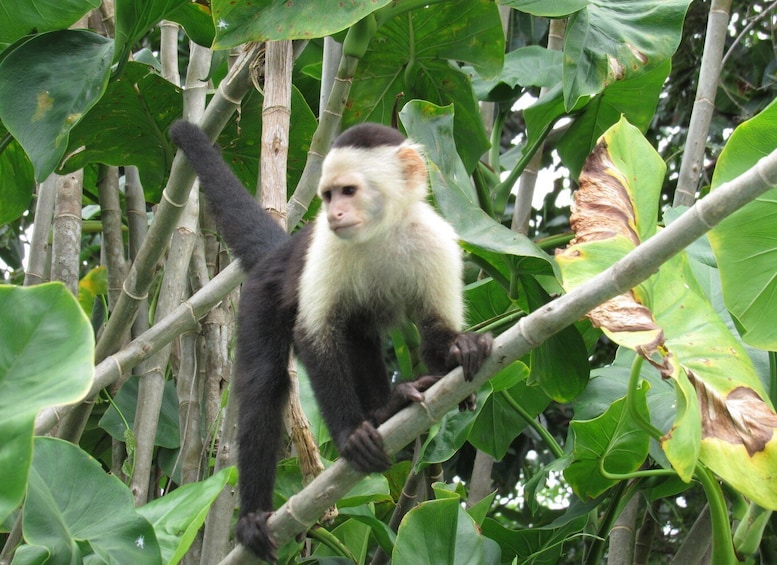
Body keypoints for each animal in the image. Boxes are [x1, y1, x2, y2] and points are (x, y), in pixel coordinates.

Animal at [173, 121, 494, 560]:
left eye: (349, 191)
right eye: (327, 195)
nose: (333, 213)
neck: (381, 232)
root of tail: (279, 251)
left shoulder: (436, 240)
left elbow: (432, 337)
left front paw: (461, 349)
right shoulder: (326, 245)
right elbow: (314, 337)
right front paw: (349, 435)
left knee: (359, 335)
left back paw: (387, 409)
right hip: (262, 291)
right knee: (265, 382)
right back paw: (254, 516)